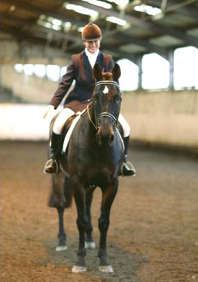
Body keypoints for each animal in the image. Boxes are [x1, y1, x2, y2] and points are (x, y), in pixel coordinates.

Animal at [48, 62, 124, 274]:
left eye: (118, 97)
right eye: (96, 97)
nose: (106, 135)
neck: (99, 147)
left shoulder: (111, 184)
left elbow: (103, 221)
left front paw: (104, 260)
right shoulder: (78, 183)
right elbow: (80, 220)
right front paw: (80, 261)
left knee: (89, 206)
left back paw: (90, 240)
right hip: (58, 176)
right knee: (60, 205)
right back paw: (62, 241)